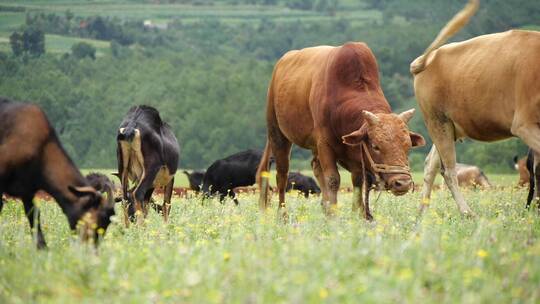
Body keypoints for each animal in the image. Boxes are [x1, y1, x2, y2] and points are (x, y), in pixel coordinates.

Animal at [258, 39, 426, 220]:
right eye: (375, 146)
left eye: (407, 146)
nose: (402, 183)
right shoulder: (325, 145)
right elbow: (333, 180)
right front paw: (334, 215)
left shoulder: (355, 154)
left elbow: (358, 181)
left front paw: (357, 215)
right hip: (277, 134)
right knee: (282, 174)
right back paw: (283, 214)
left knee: (315, 167)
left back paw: (324, 207)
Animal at [410, 0, 540, 214]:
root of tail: (430, 56)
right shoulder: (524, 124)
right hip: (437, 121)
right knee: (448, 170)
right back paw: (467, 212)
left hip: (447, 126)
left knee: (431, 165)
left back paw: (421, 214)